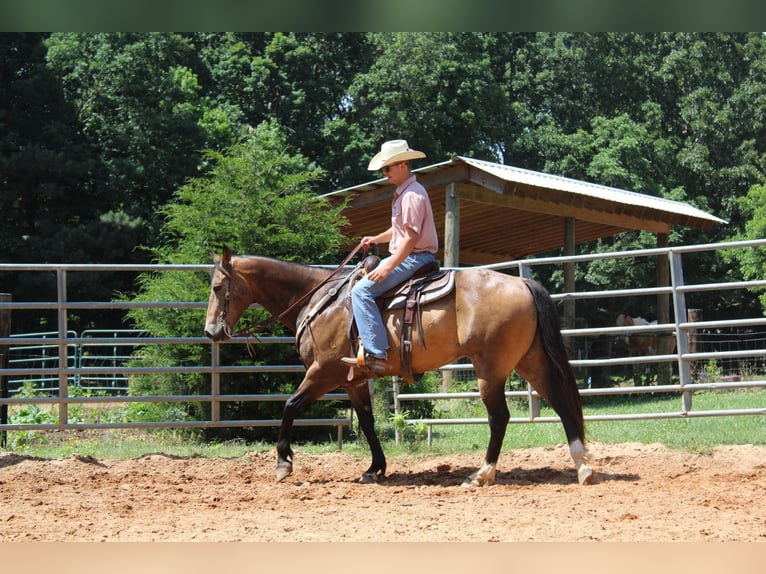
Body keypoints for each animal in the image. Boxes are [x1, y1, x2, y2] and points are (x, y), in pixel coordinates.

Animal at [204, 245, 592, 488]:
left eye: (218, 286)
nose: (210, 331)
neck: (319, 301)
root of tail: (522, 282)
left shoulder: (324, 372)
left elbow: (289, 406)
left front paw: (284, 463)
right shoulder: (353, 380)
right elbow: (367, 422)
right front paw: (375, 468)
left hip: (490, 369)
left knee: (499, 417)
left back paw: (481, 474)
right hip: (530, 360)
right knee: (561, 403)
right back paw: (583, 465)